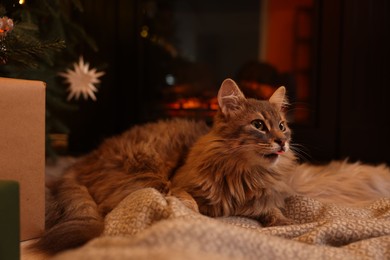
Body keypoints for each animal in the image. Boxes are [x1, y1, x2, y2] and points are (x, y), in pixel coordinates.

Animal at [34, 78, 390, 255]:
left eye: (283, 126)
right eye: (259, 125)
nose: (282, 143)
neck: (245, 173)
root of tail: (86, 159)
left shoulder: (266, 201)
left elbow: (277, 216)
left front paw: (289, 226)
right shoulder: (180, 184)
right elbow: (188, 203)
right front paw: (194, 215)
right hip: (147, 171)